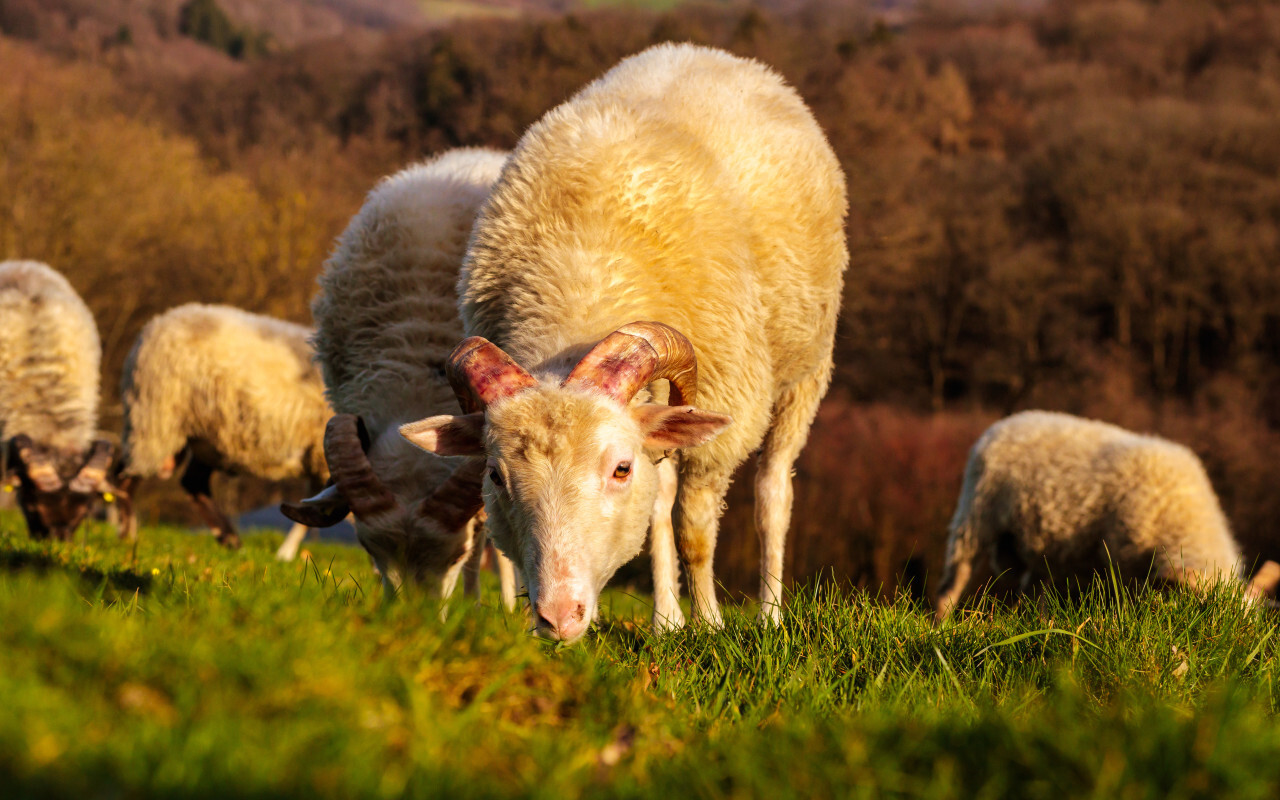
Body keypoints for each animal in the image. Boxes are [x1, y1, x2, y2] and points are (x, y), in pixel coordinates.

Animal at [117, 299, 332, 555]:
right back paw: (128, 534)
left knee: (192, 482)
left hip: (203, 439)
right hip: (155, 420)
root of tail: (155, 323)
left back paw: (229, 538)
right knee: (125, 476)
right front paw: (285, 554)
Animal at [399, 45, 849, 642]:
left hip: (805, 370)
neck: (582, 277)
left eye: (619, 469)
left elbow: (695, 530)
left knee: (772, 491)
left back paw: (770, 611)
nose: (558, 616)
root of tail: (698, 50)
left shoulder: (722, 415)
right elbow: (657, 513)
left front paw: (710, 624)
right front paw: (667, 621)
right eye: (495, 475)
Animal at [931, 409, 1280, 622]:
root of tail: (1004, 423)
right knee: (953, 580)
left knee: (1030, 588)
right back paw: (940, 624)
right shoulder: (1122, 553)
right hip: (976, 515)